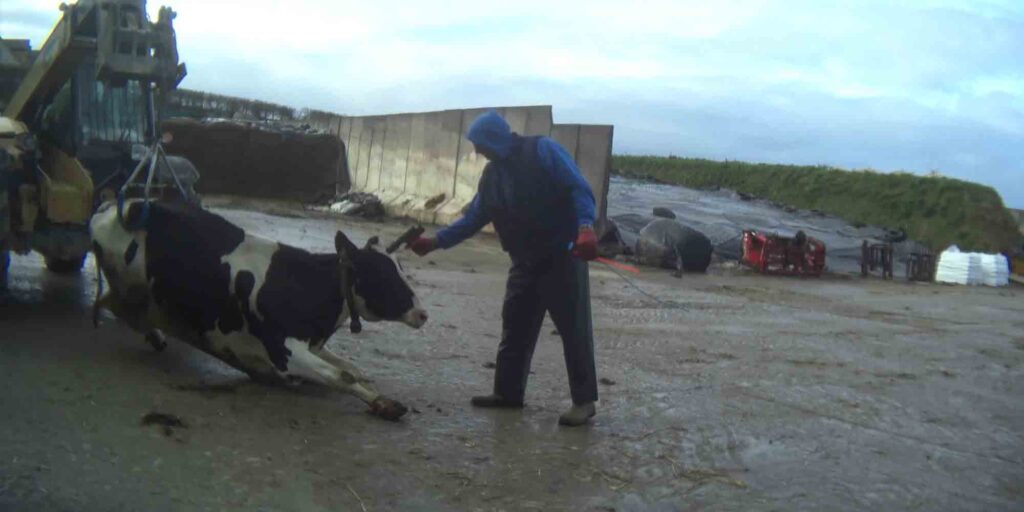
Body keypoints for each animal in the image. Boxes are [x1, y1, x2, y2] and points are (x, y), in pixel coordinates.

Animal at [86, 197, 425, 417]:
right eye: (383, 274)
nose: (423, 314)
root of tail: (125, 205)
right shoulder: (283, 350)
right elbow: (344, 375)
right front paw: (381, 403)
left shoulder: (312, 344)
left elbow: (354, 369)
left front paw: (380, 397)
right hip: (127, 281)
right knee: (113, 303)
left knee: (113, 304)